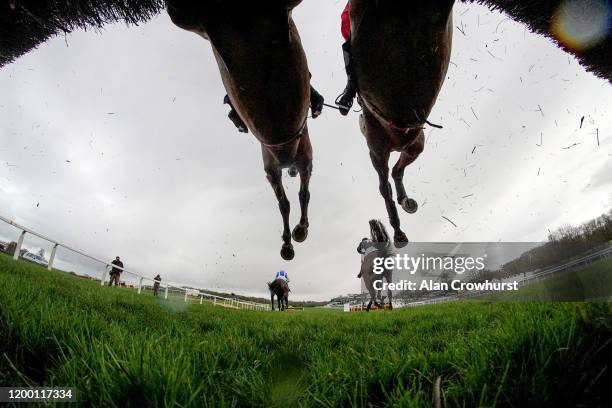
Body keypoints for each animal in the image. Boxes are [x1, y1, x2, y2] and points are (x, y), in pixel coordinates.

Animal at [169, 0, 316, 260]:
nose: (289, 168)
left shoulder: (305, 163)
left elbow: (303, 195)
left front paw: (300, 230)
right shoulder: (271, 171)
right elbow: (284, 204)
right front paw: (287, 243)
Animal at [346, 0, 452, 242]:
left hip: (414, 144)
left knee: (397, 171)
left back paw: (406, 202)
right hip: (378, 151)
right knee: (384, 186)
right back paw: (397, 229)